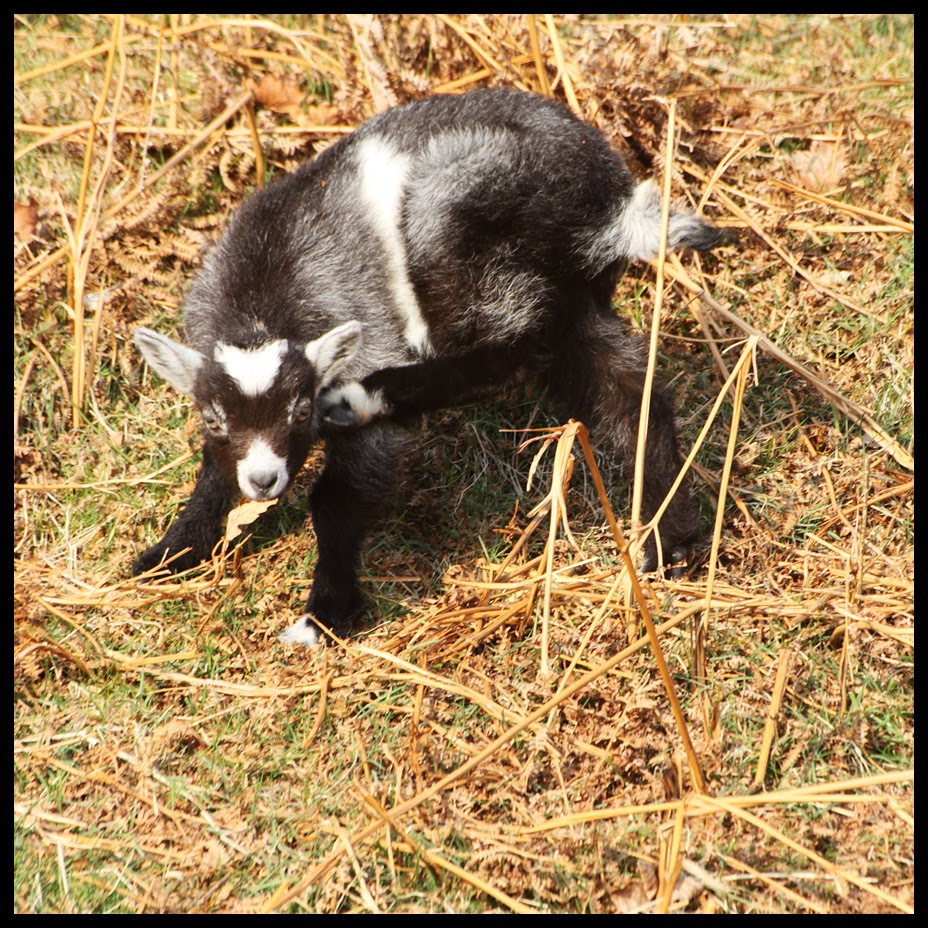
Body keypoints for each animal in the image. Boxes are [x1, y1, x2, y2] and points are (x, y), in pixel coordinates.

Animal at [133, 88, 721, 646]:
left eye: (300, 411)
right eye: (214, 418)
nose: (263, 479)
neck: (261, 304)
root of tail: (608, 204)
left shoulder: (369, 347)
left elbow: (337, 498)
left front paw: (325, 614)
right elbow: (213, 472)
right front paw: (169, 553)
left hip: (458, 233)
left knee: (515, 351)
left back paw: (371, 395)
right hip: (574, 295)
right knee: (628, 388)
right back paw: (673, 541)